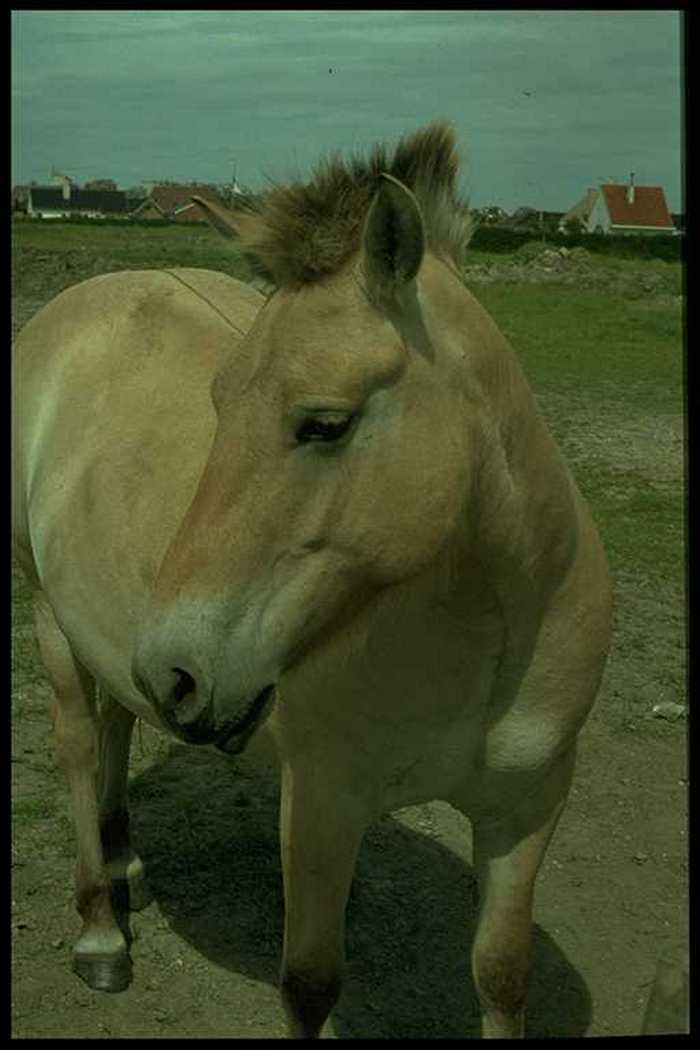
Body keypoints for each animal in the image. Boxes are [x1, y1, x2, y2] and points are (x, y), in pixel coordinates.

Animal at [12, 121, 612, 1037]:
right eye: (218, 402)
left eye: (324, 423)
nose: (175, 672)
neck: (485, 635)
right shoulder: (323, 805)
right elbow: (311, 984)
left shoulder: (528, 809)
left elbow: (503, 975)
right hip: (50, 618)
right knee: (80, 746)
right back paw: (101, 930)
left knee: (115, 725)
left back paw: (127, 867)